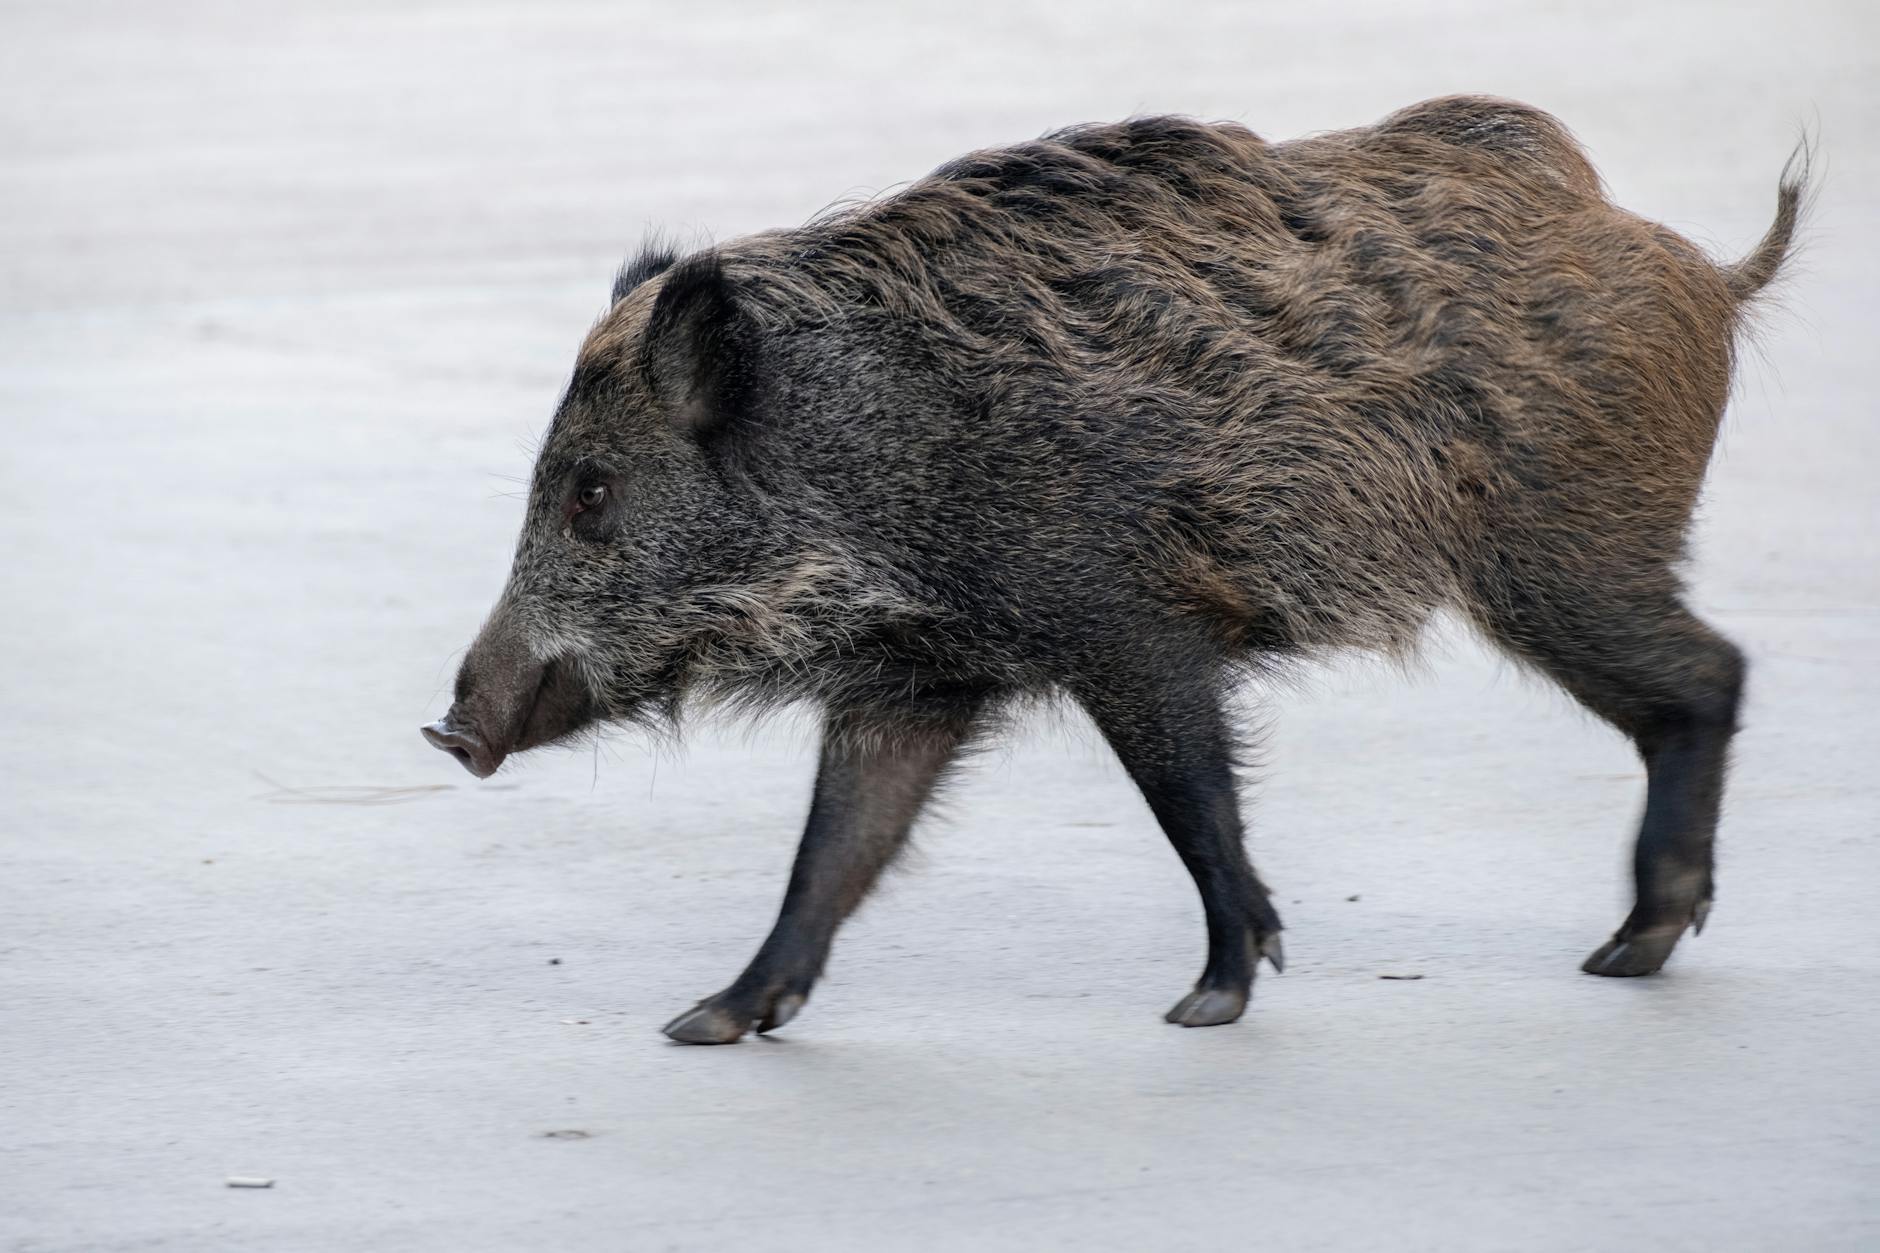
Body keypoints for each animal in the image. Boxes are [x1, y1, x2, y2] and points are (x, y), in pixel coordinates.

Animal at [422, 96, 1806, 1044]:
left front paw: (1206, 1002)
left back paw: (1624, 950)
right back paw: (1627, 951)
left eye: (590, 491)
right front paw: (706, 1020)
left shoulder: (1128, 626)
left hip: (1559, 555)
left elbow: (1189, 796)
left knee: (1711, 675)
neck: (878, 469)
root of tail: (1697, 267)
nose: (449, 727)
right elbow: (835, 849)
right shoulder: (913, 681)